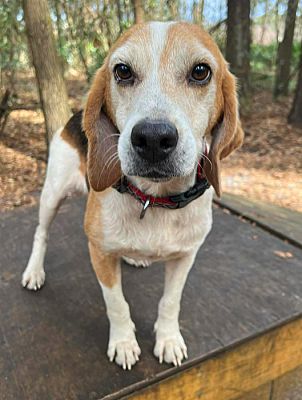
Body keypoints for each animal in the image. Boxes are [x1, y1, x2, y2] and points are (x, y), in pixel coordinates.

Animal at [21, 21, 243, 370]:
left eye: (201, 72)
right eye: (122, 71)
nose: (152, 138)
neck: (154, 199)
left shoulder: (185, 256)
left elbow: (170, 301)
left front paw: (168, 339)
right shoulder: (99, 253)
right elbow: (117, 303)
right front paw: (124, 343)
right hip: (52, 194)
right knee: (41, 233)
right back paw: (34, 271)